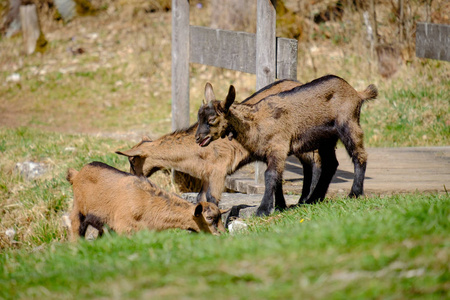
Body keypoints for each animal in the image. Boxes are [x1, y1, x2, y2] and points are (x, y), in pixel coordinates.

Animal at [65, 161, 227, 240]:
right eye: (209, 217)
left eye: (220, 217)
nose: (222, 234)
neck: (145, 203)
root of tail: (76, 174)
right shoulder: (123, 228)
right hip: (78, 211)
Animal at [118, 78, 326, 205]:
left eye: (132, 160)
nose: (133, 177)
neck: (193, 153)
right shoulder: (205, 175)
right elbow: (200, 199)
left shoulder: (219, 169)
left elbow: (211, 199)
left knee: (315, 160)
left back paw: (309, 198)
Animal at [195, 74, 378, 216]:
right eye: (199, 117)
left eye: (212, 120)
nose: (198, 138)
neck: (256, 122)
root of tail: (357, 93)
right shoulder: (269, 154)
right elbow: (278, 178)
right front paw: (279, 206)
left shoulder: (278, 147)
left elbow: (270, 176)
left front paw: (262, 210)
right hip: (326, 139)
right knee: (330, 164)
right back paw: (313, 199)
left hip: (349, 123)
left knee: (359, 155)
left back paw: (354, 193)